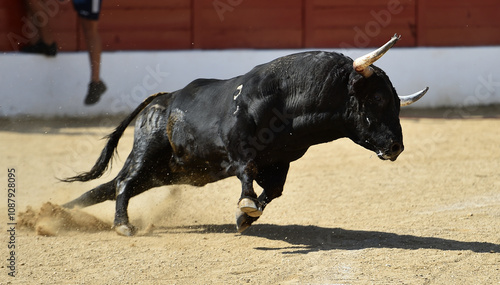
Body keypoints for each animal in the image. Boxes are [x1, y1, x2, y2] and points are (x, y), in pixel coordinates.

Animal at [62, 34, 428, 234]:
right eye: (377, 98)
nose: (396, 146)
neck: (288, 104)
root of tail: (160, 100)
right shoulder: (239, 149)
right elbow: (247, 174)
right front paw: (246, 207)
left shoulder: (280, 162)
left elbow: (274, 191)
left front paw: (244, 218)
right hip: (147, 154)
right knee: (123, 183)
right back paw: (122, 225)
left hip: (162, 170)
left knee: (106, 188)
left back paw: (59, 213)